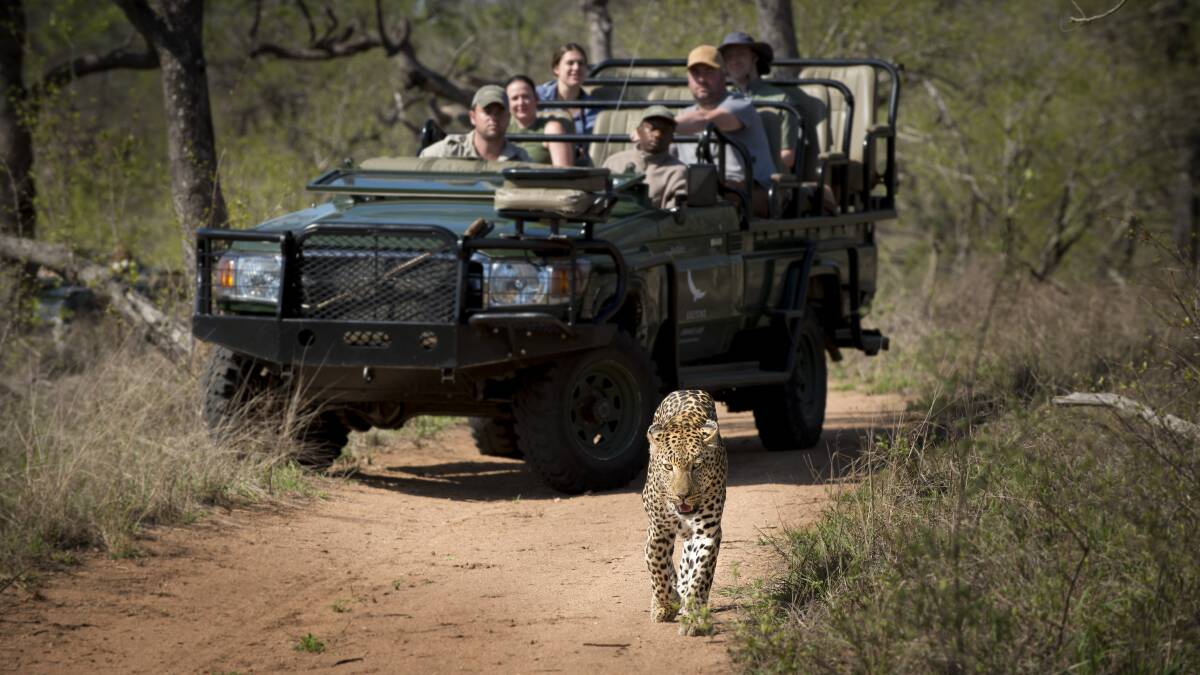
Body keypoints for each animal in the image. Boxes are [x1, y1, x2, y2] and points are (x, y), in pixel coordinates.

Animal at [641, 389, 728, 636]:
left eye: (696, 466)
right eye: (668, 467)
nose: (682, 495)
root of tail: (686, 390)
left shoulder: (707, 533)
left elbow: (700, 575)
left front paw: (693, 617)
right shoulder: (658, 530)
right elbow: (657, 566)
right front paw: (665, 604)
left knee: (687, 561)